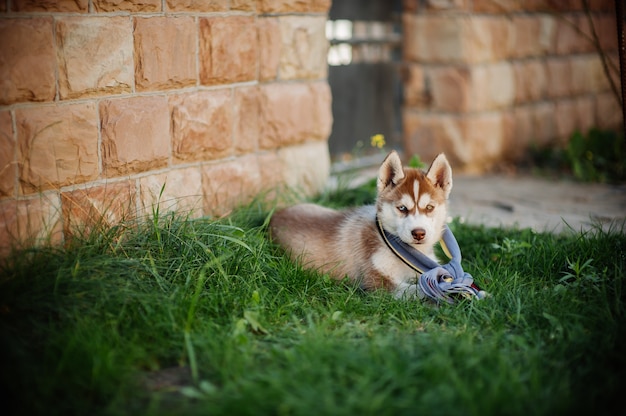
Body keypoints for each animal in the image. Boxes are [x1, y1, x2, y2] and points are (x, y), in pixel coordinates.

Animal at [266, 151, 448, 298]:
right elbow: (419, 289)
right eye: (402, 208)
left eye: (429, 207)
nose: (419, 233)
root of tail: (274, 216)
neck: (407, 252)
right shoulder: (377, 281)